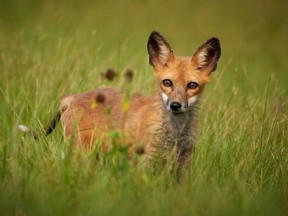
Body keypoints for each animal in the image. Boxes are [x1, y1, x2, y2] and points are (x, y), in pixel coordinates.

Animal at [18, 31, 220, 170]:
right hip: (82, 154)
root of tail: (70, 97)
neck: (174, 136)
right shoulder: (143, 165)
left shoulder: (181, 169)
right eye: (167, 82)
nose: (175, 106)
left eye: (192, 85)